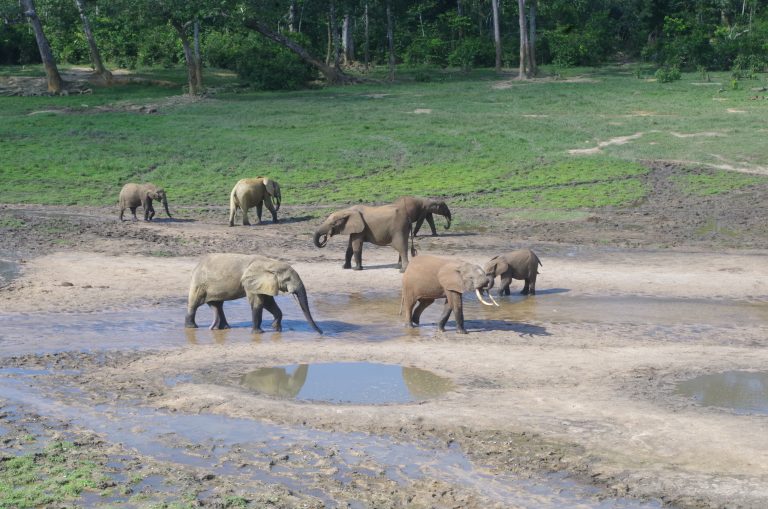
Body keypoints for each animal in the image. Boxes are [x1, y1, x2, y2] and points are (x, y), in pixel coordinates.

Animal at [185, 253, 322, 334]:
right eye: (287, 279)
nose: (321, 333)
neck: (270, 263)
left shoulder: (264, 282)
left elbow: (268, 302)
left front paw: (276, 329)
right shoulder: (250, 282)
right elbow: (258, 303)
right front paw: (259, 333)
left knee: (218, 305)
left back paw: (224, 328)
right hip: (198, 283)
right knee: (195, 303)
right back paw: (191, 327)